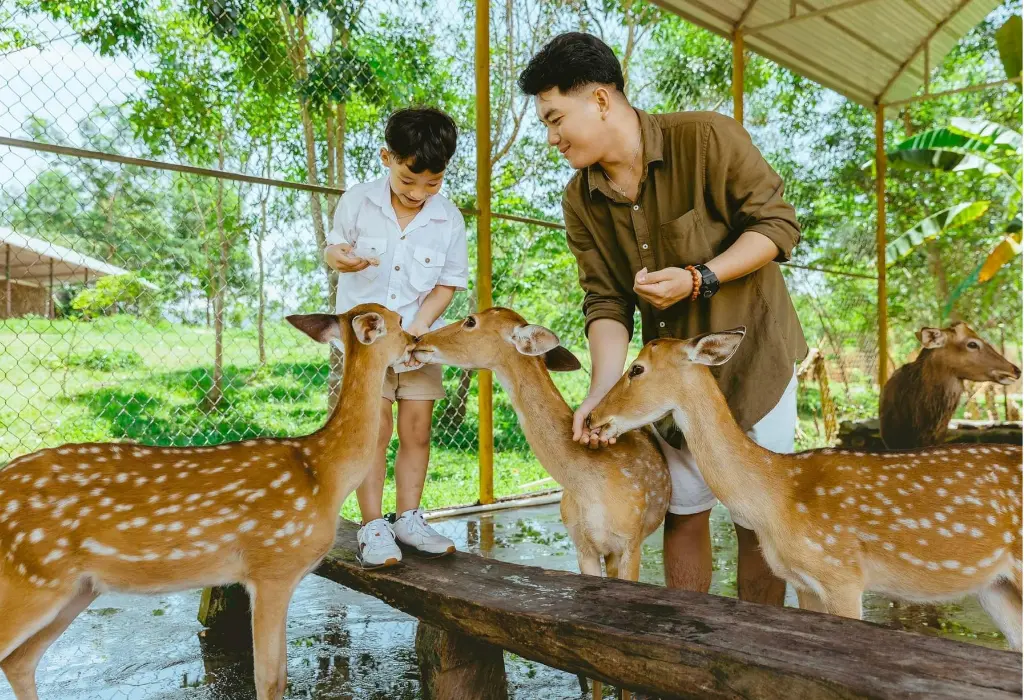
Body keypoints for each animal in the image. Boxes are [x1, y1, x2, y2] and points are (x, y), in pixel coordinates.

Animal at [1, 304, 415, 700]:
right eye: (399, 320)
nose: (415, 341)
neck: (323, 473)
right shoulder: (273, 567)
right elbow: (270, 680)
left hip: (78, 588)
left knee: (20, 661)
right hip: (30, 580)